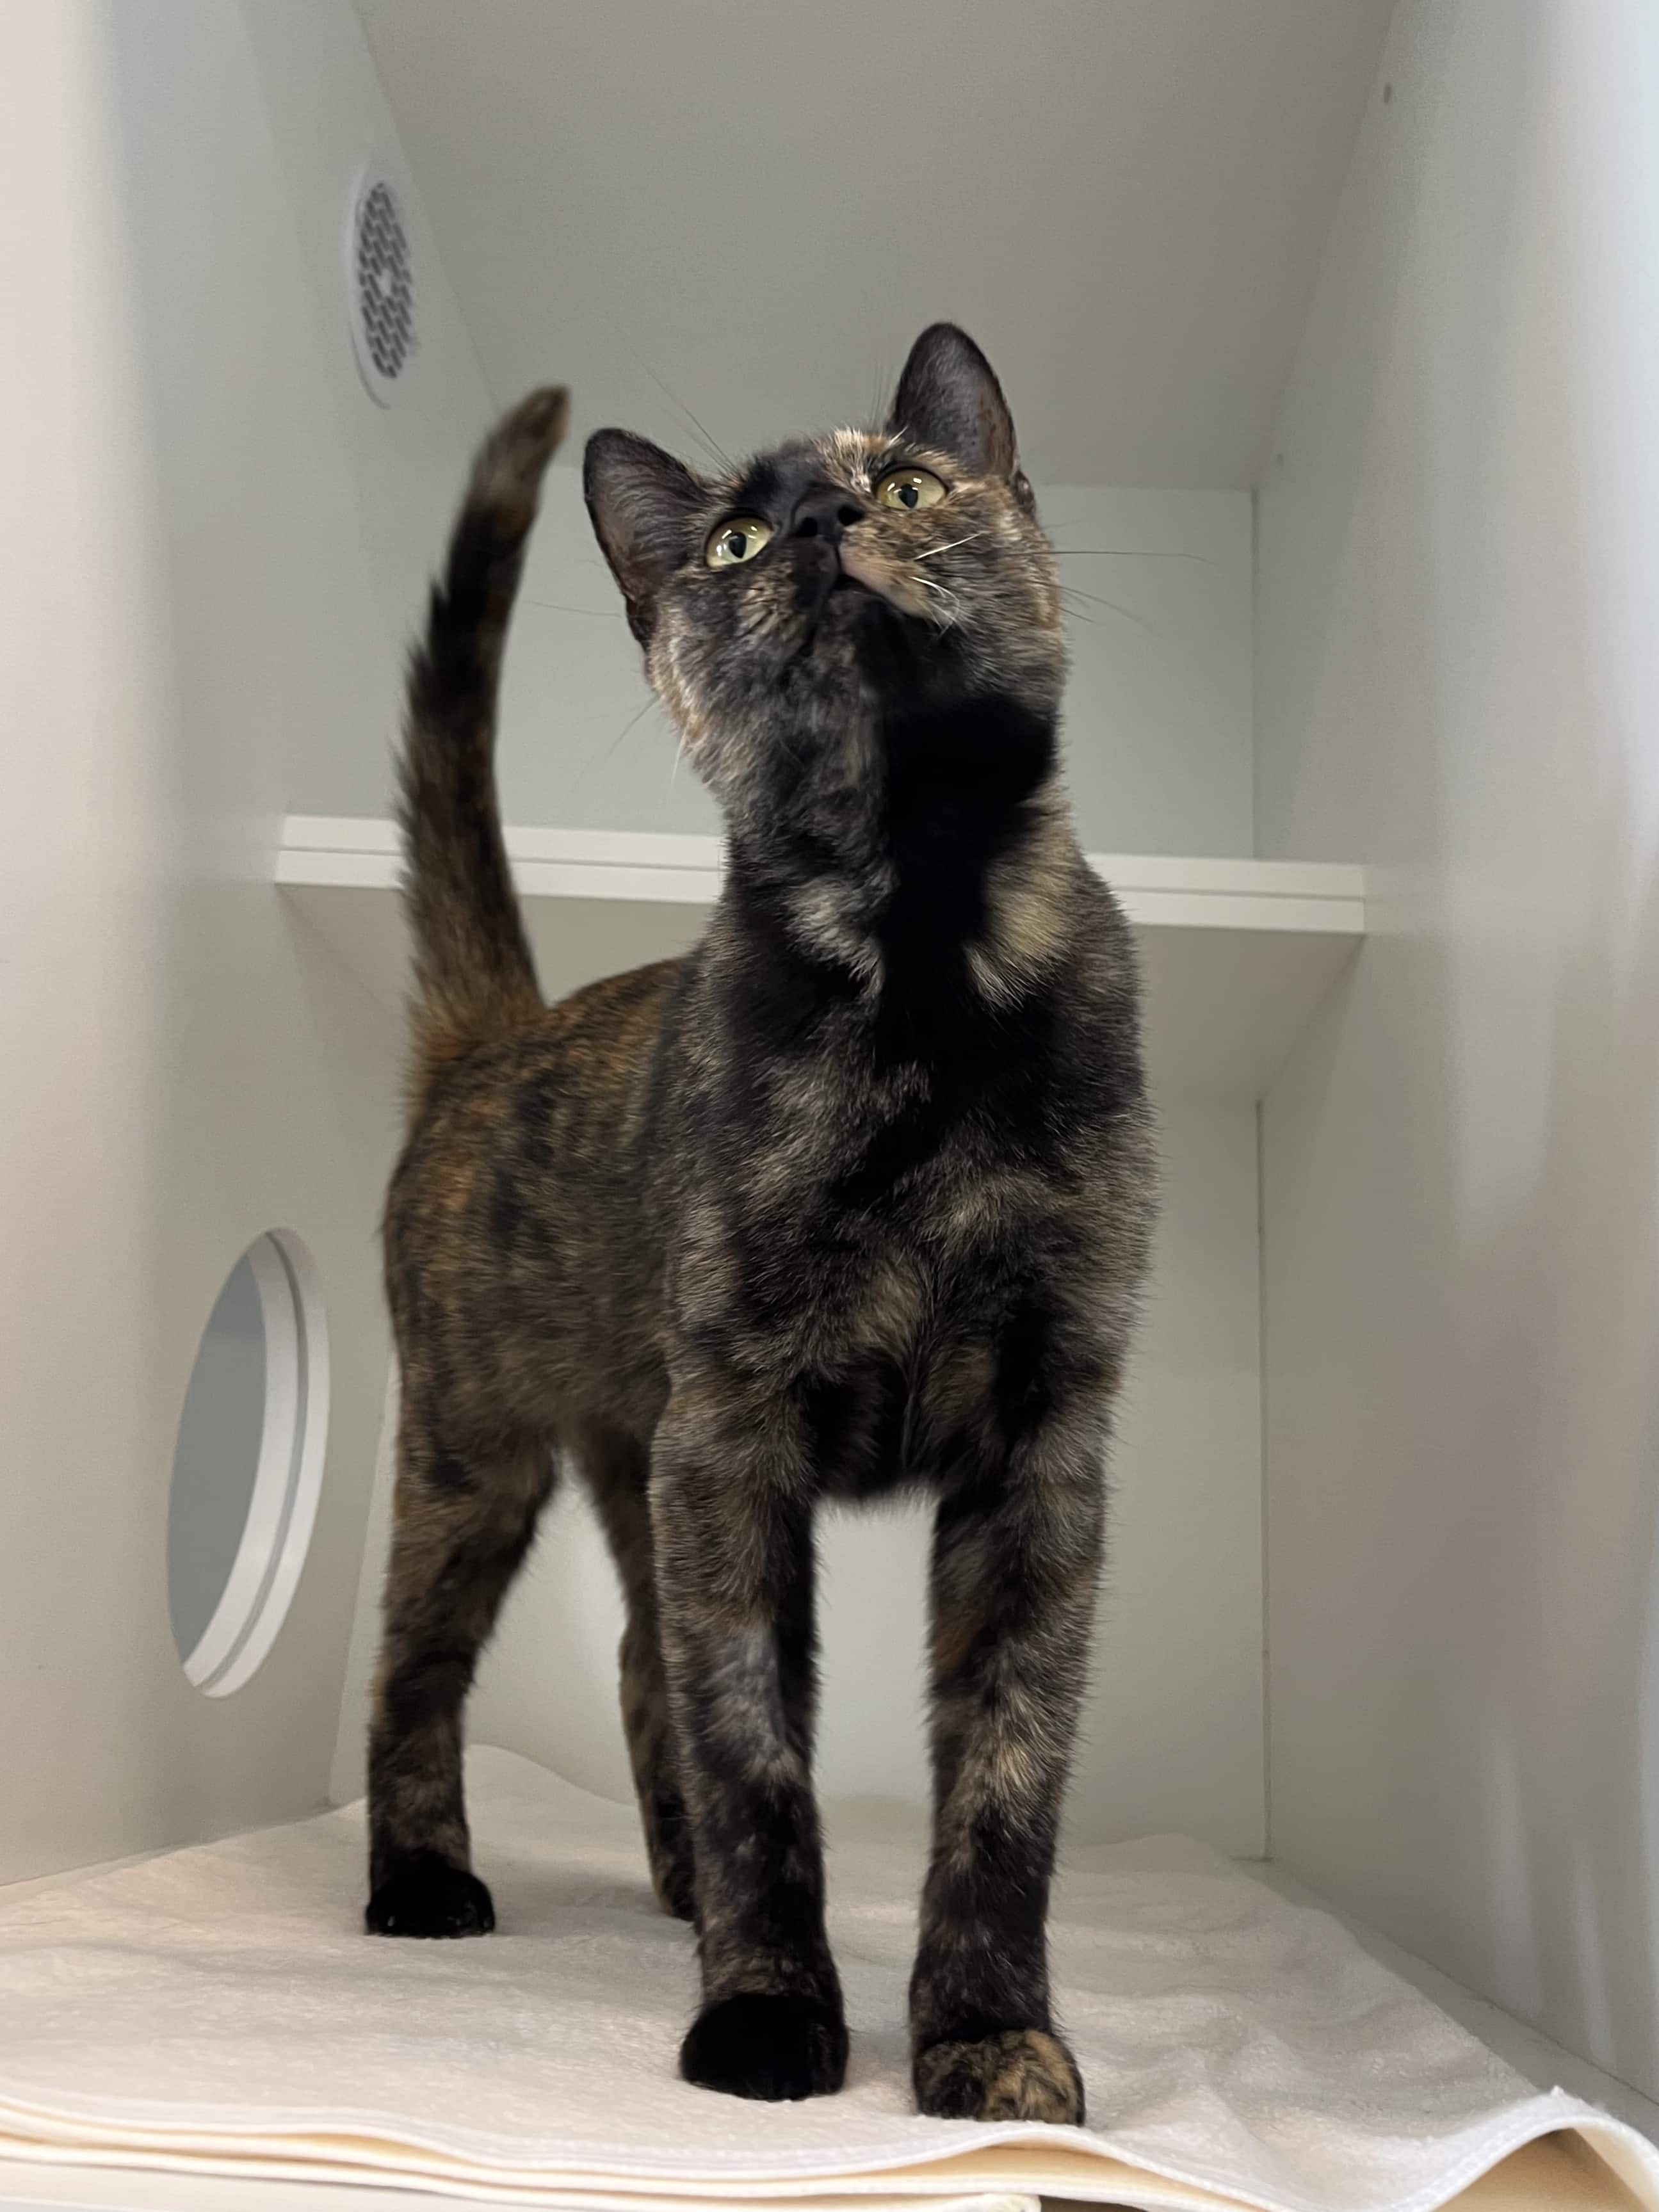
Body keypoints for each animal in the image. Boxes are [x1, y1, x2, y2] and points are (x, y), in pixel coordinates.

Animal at [365, 325, 1155, 2125]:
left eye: (909, 485)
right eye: (727, 541)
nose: (811, 528)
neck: (921, 951)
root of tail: (493, 1039)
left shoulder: (1043, 1447)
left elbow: (1002, 1781)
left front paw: (987, 2034)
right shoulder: (732, 1439)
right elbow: (755, 1749)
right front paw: (768, 2011)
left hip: (621, 1459)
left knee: (635, 1666)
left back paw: (675, 1890)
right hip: (472, 1457)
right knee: (411, 1668)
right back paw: (422, 1879)